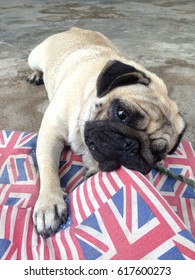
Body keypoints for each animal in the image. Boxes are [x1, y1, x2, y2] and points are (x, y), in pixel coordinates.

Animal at [27, 26, 186, 237]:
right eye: (122, 113)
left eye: (157, 154)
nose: (131, 145)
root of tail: (74, 29)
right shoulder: (50, 133)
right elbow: (48, 169)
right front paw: (49, 205)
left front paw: (93, 168)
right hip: (34, 57)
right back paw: (36, 75)